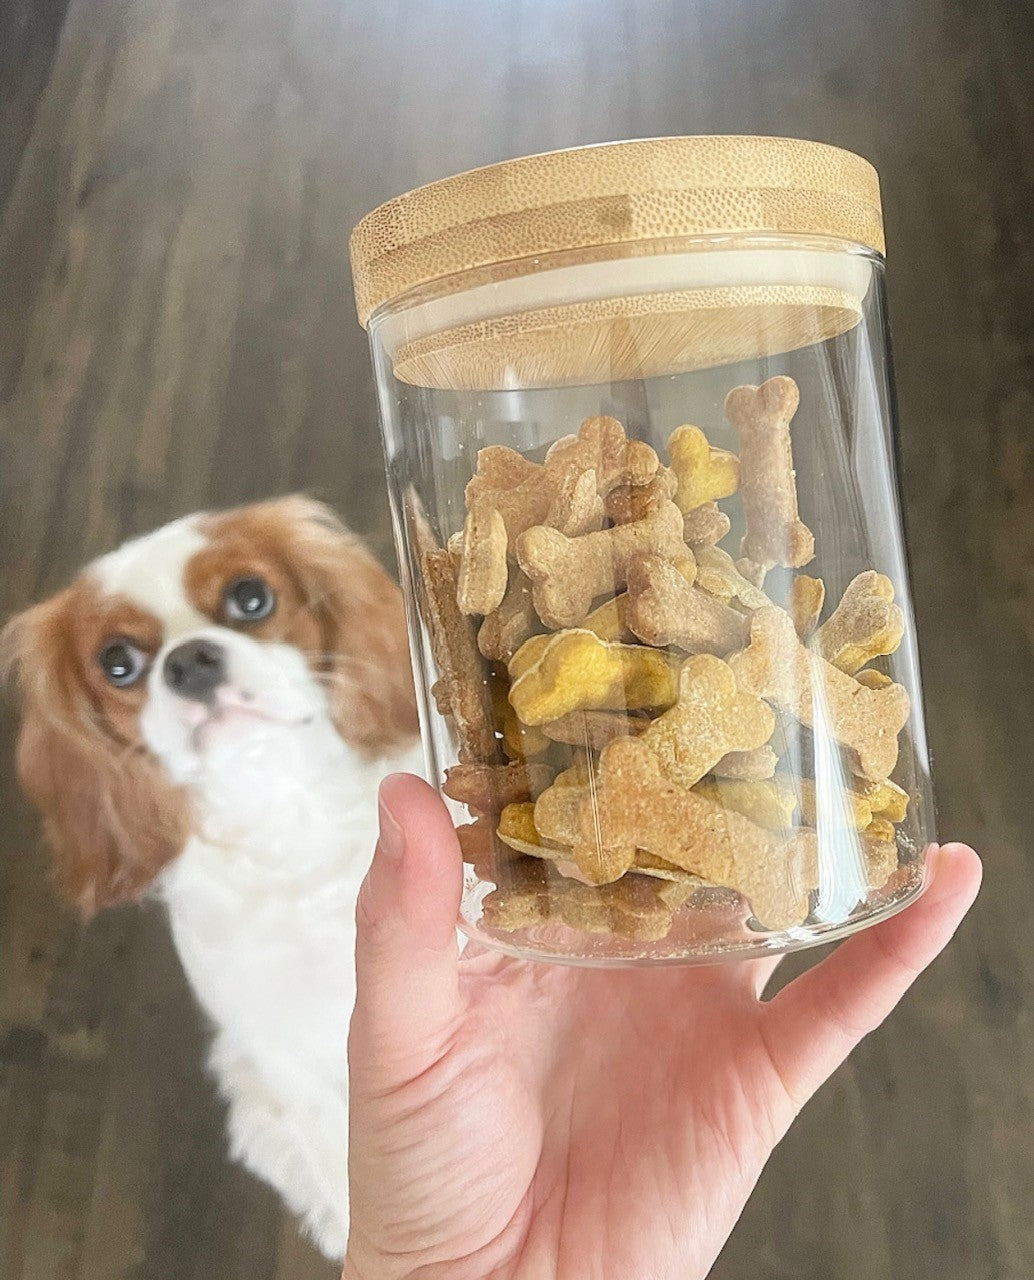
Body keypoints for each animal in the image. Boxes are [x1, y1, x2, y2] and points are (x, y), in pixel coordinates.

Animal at [1, 494, 419, 1254]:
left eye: (251, 598)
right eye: (117, 663)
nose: (190, 661)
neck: (287, 809)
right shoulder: (291, 1056)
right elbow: (342, 1168)